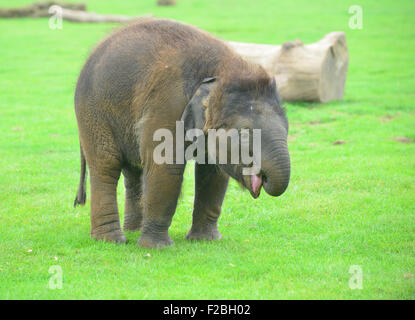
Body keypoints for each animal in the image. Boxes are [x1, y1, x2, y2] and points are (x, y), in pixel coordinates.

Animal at [73, 17, 290, 249]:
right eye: (244, 134)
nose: (263, 177)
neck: (221, 70)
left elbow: (212, 173)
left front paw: (206, 240)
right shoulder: (168, 102)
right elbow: (165, 167)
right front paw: (157, 248)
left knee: (133, 171)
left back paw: (133, 231)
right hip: (93, 113)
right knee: (106, 166)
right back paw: (111, 240)